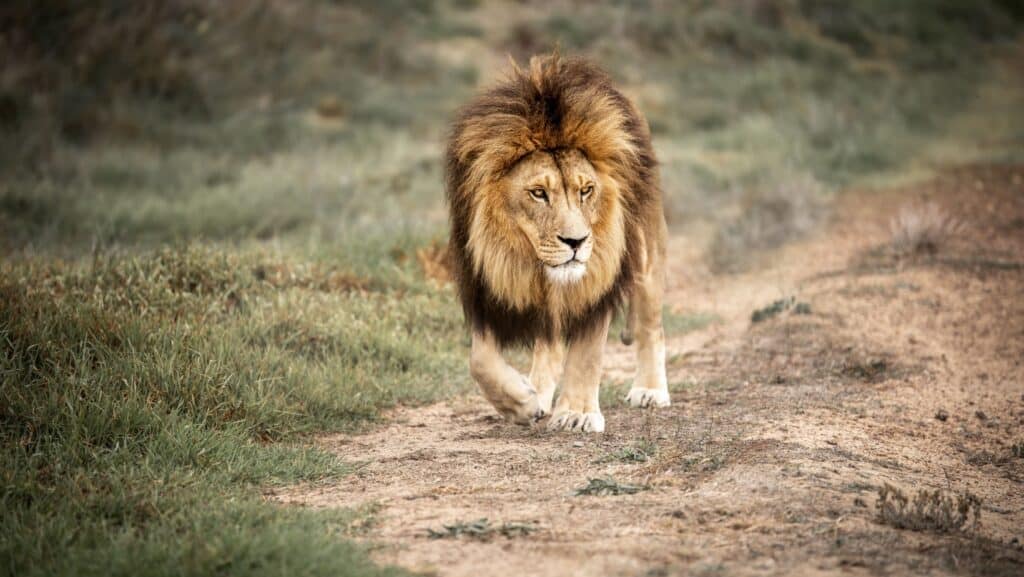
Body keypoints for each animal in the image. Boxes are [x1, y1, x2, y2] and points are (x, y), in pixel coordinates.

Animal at [444, 53, 669, 433]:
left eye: (586, 190)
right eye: (538, 193)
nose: (576, 241)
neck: (525, 259)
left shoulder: (599, 277)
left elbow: (587, 353)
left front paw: (577, 413)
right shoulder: (484, 285)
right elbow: (479, 360)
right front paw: (521, 403)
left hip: (644, 251)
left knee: (651, 322)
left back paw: (650, 390)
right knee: (548, 342)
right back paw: (538, 389)